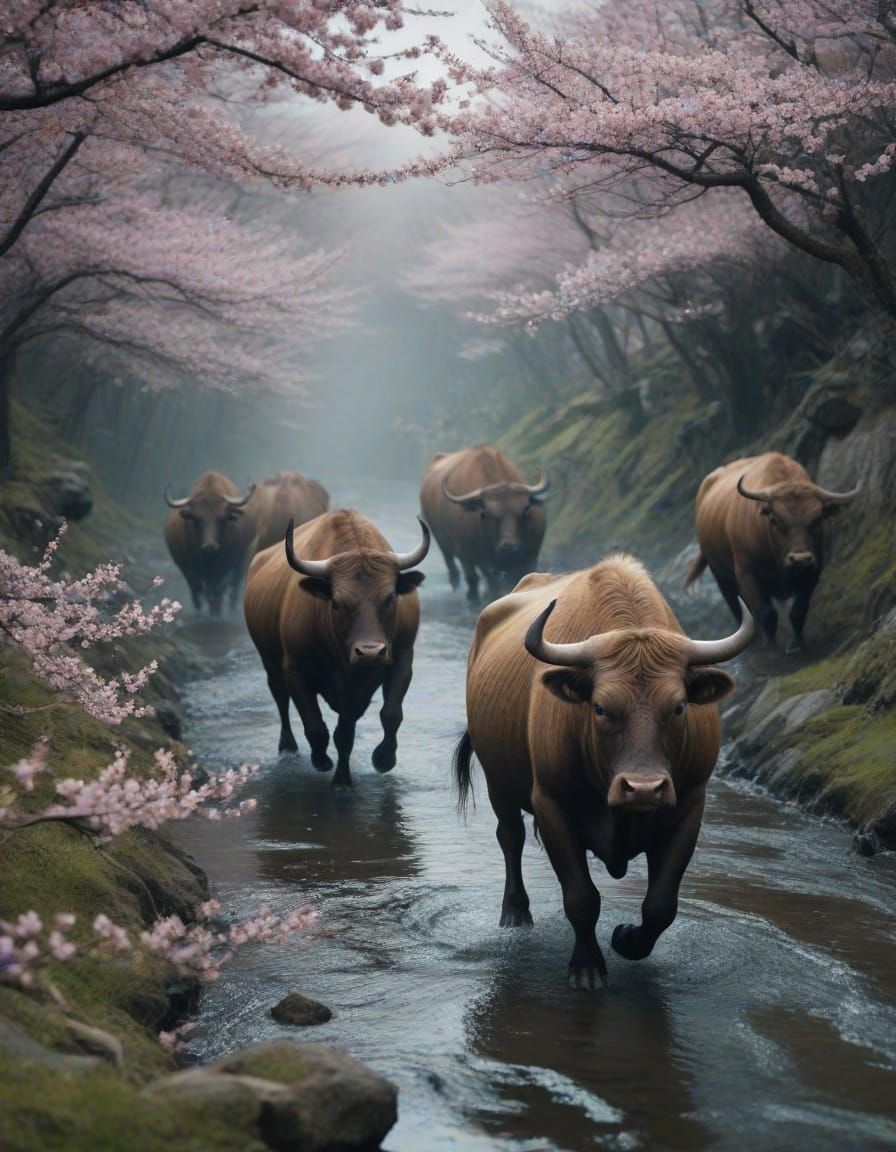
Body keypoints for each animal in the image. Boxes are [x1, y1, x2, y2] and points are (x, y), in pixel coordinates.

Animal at [164, 471, 257, 614]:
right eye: (196, 519)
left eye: (222, 518)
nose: (209, 546)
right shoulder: (190, 565)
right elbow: (198, 586)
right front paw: (203, 609)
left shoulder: (227, 563)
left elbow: (219, 586)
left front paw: (216, 610)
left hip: (244, 558)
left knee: (235, 582)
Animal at [243, 509, 429, 787]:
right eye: (337, 602)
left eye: (390, 597)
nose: (370, 652)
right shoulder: (295, 668)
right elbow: (314, 724)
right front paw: (322, 761)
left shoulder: (401, 660)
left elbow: (384, 717)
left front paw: (379, 761)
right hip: (270, 661)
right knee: (280, 699)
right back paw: (287, 747)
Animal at [419, 445, 549, 603]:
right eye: (487, 513)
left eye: (526, 509)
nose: (509, 546)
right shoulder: (469, 555)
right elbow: (478, 578)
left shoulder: (530, 556)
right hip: (442, 543)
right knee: (455, 568)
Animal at [454, 554, 755, 988]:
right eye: (600, 707)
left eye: (679, 706)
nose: (643, 788)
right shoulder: (553, 805)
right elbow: (581, 898)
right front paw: (587, 967)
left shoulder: (689, 807)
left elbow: (661, 904)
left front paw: (627, 939)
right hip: (499, 783)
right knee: (510, 838)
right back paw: (515, 912)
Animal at [685, 452, 859, 649]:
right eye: (775, 520)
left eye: (817, 520)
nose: (800, 559)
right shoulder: (747, 572)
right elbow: (766, 613)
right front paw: (771, 647)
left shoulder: (813, 571)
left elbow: (799, 610)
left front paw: (796, 644)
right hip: (720, 574)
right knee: (735, 606)